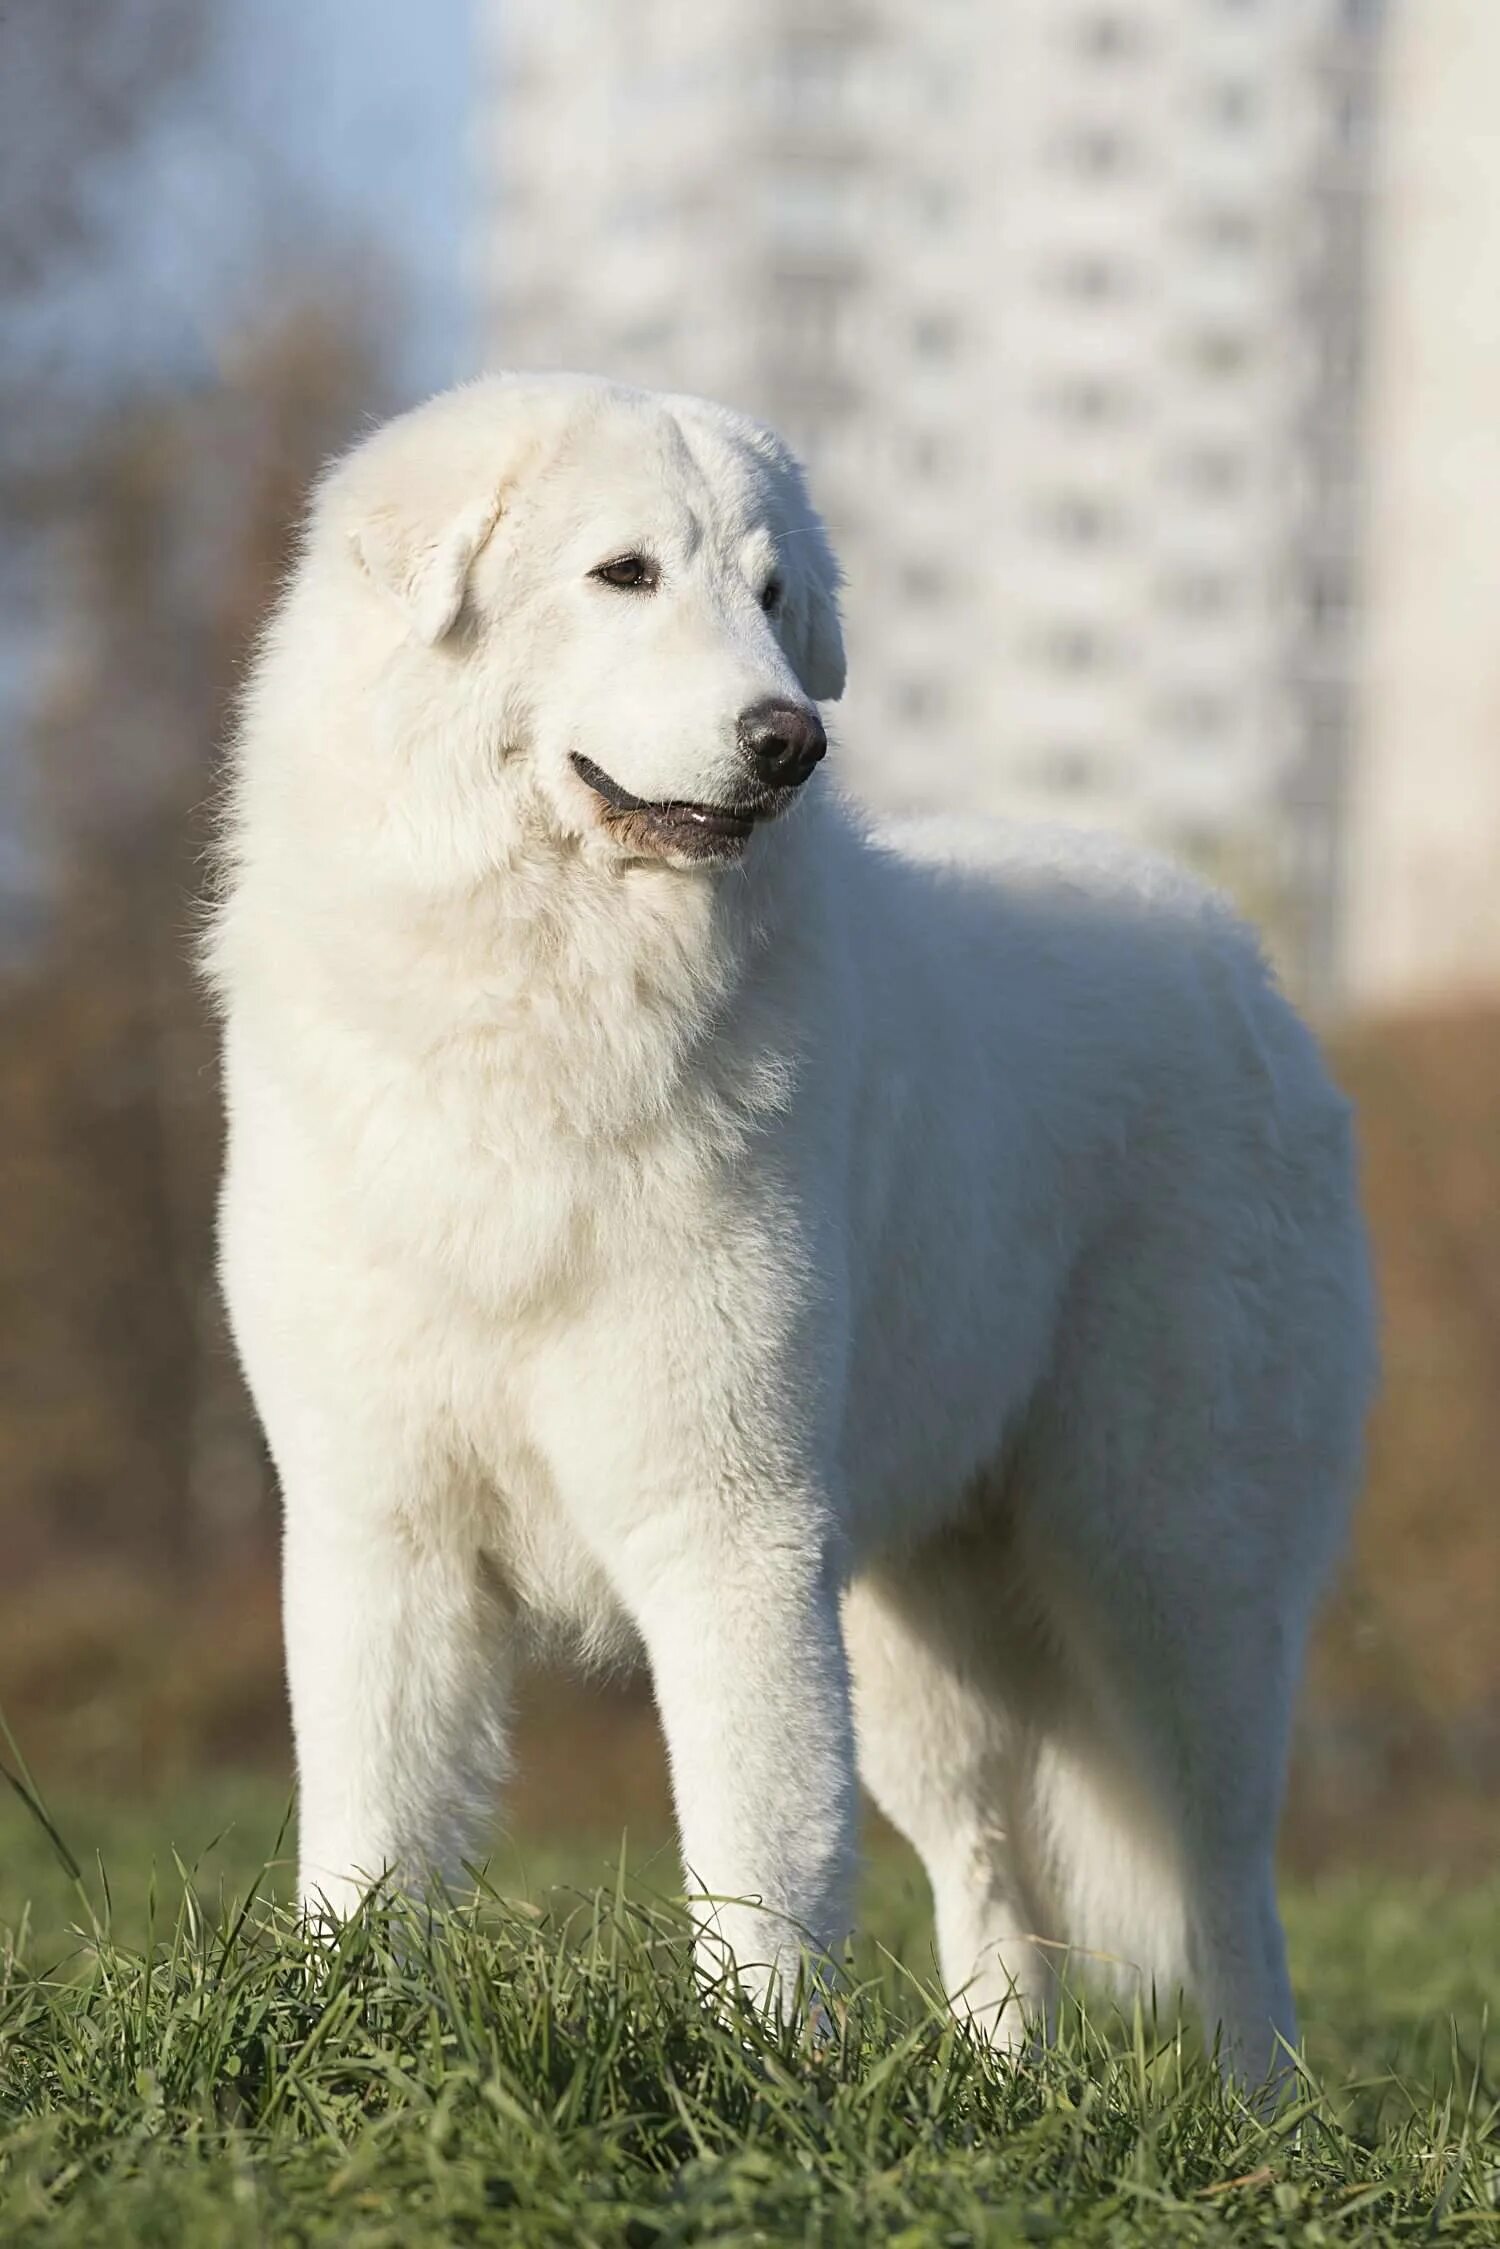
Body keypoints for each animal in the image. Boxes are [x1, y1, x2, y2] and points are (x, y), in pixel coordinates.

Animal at [205, 377, 1376, 2078]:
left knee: (1225, 1881)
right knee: (991, 1869)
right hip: (920, 1636)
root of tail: (1246, 965)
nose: (791, 738)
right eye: (624, 573)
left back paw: (1249, 2111)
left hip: (1167, 1565)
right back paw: (1001, 2082)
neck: (538, 996)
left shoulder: (732, 1524)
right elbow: (369, 1831)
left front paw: (755, 2070)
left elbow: (759, 1849)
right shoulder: (382, 1519)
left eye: (771, 598)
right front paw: (345, 2036)